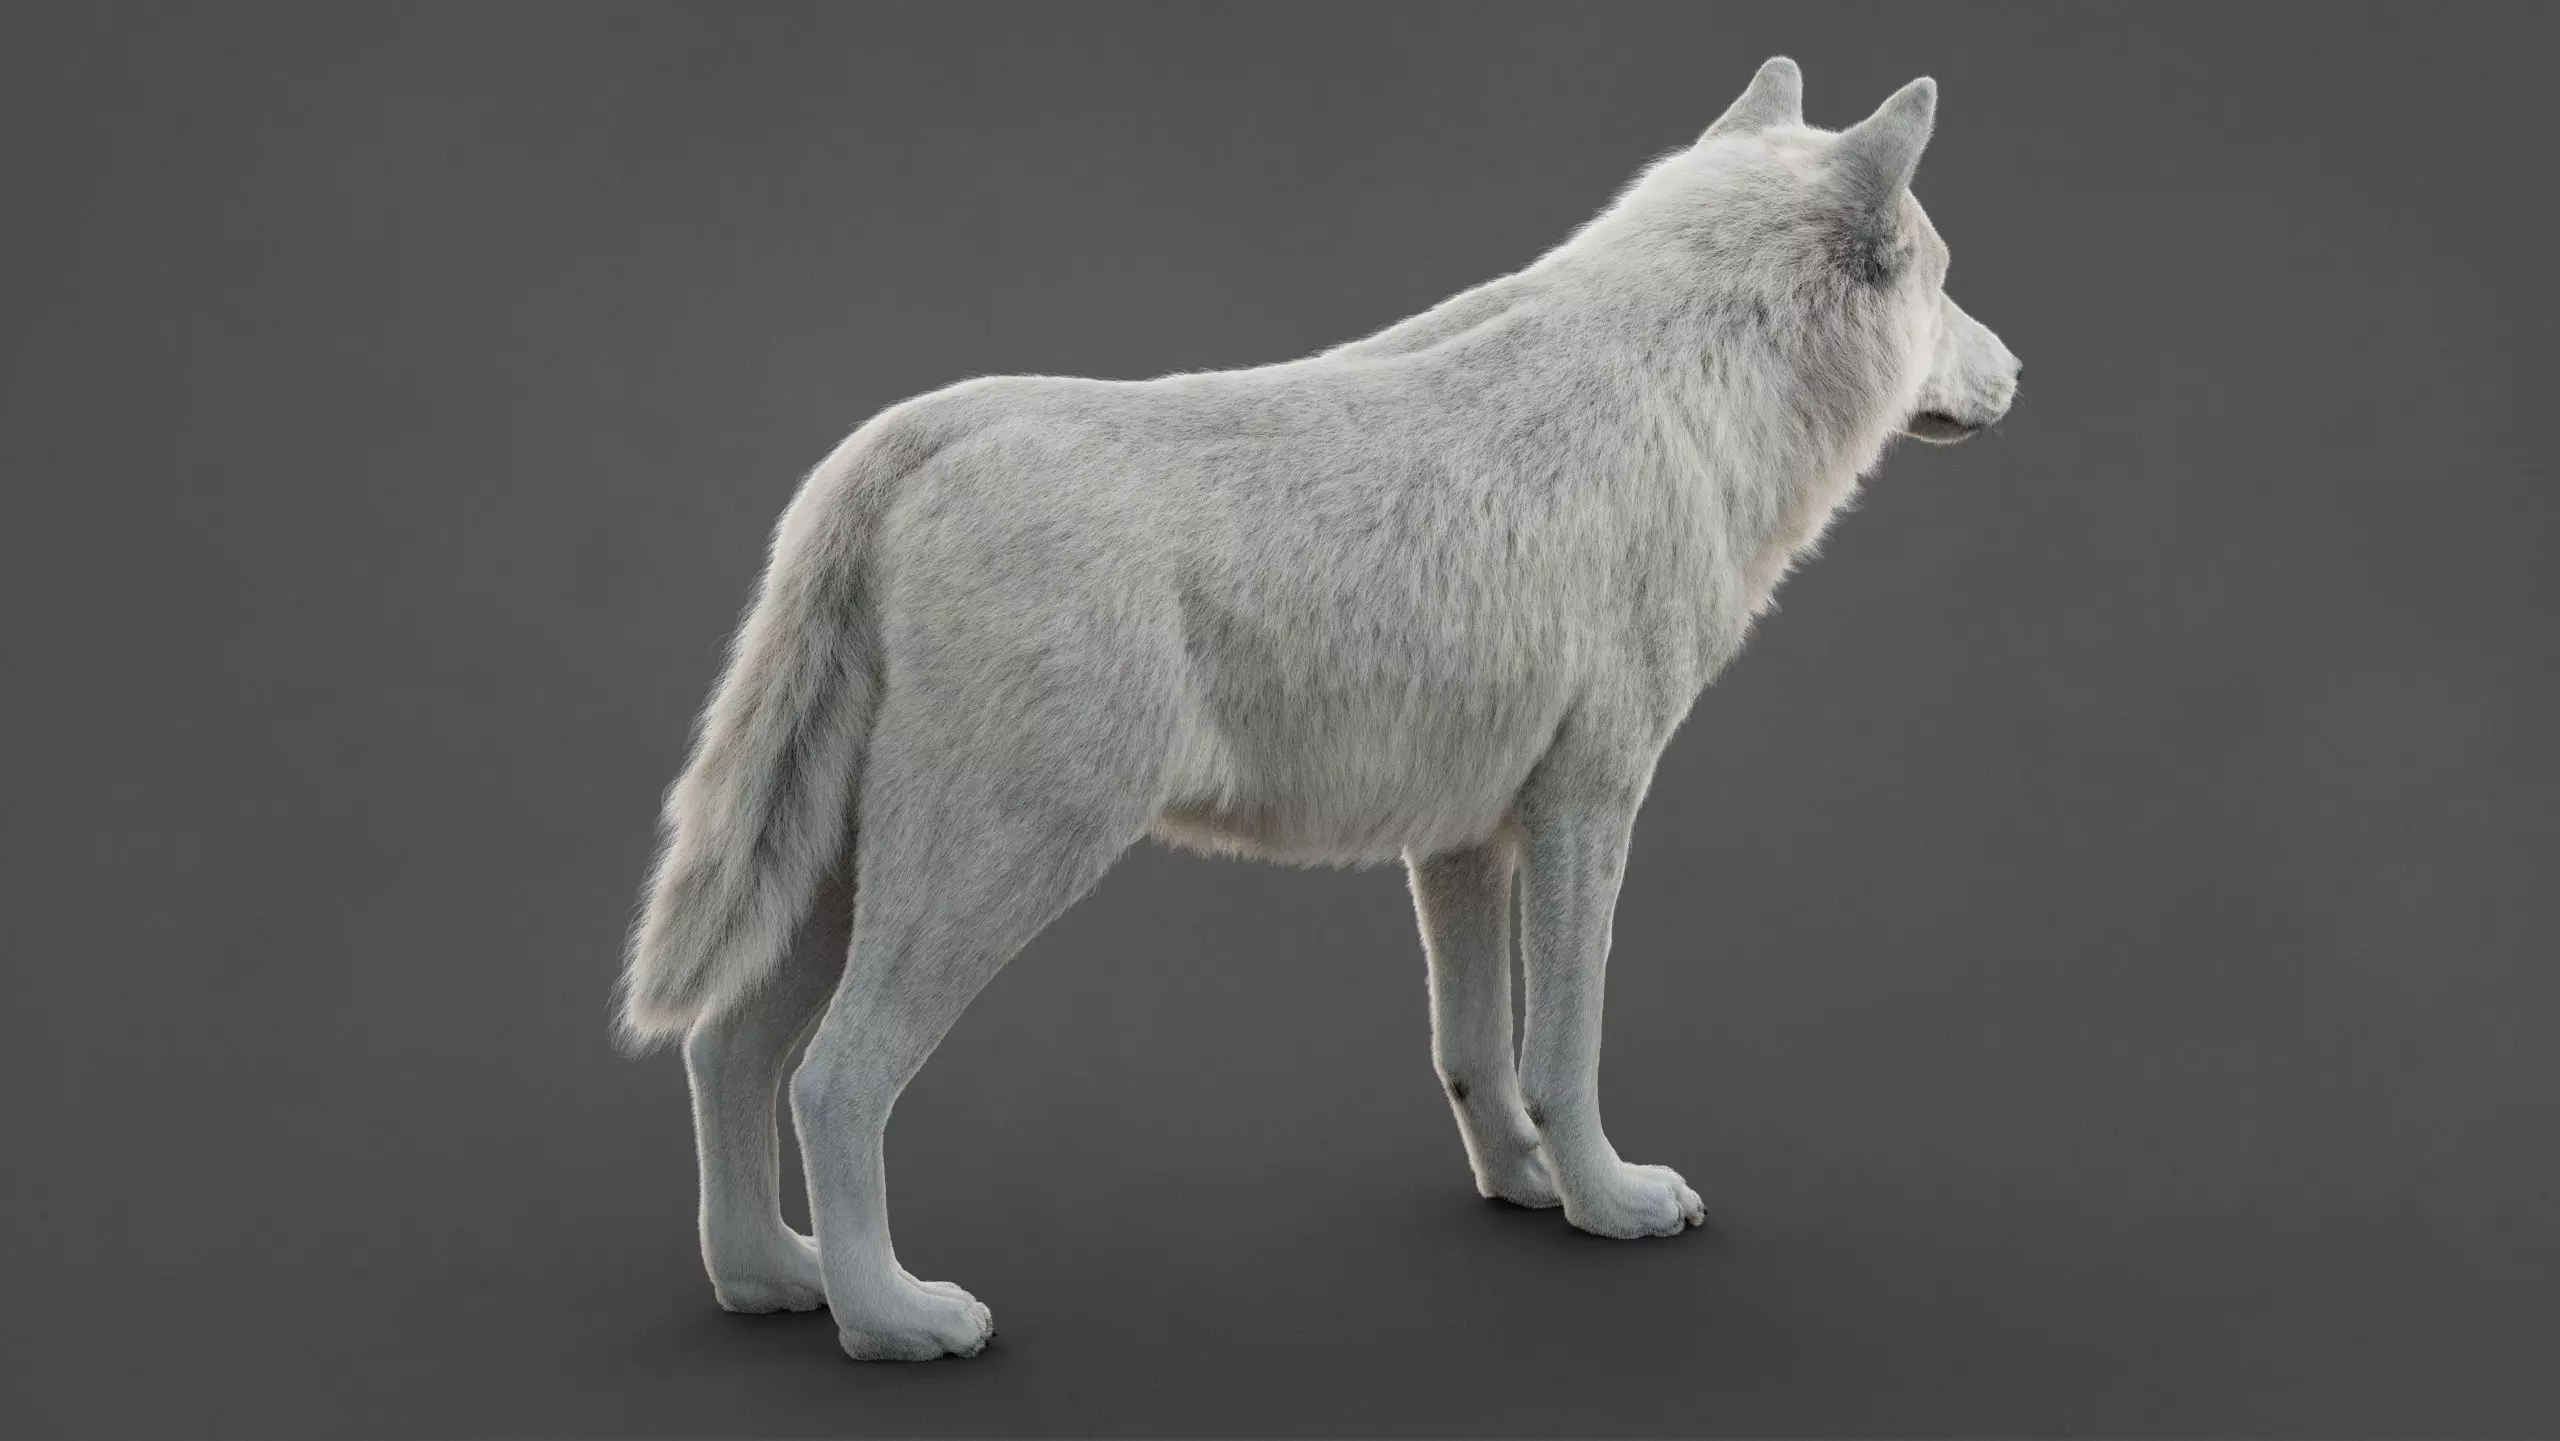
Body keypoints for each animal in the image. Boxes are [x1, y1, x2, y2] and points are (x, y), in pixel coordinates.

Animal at [614, 57, 2020, 1361]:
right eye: (1946, 277)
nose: (2018, 367)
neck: (1693, 391)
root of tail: (908, 442)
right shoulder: (1588, 808)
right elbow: (1566, 1049)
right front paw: (1610, 1202)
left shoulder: (1463, 841)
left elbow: (1476, 1050)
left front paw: (1522, 1187)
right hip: (997, 869)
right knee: (837, 1078)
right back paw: (892, 1321)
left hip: (843, 878)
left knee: (726, 1050)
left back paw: (770, 1280)